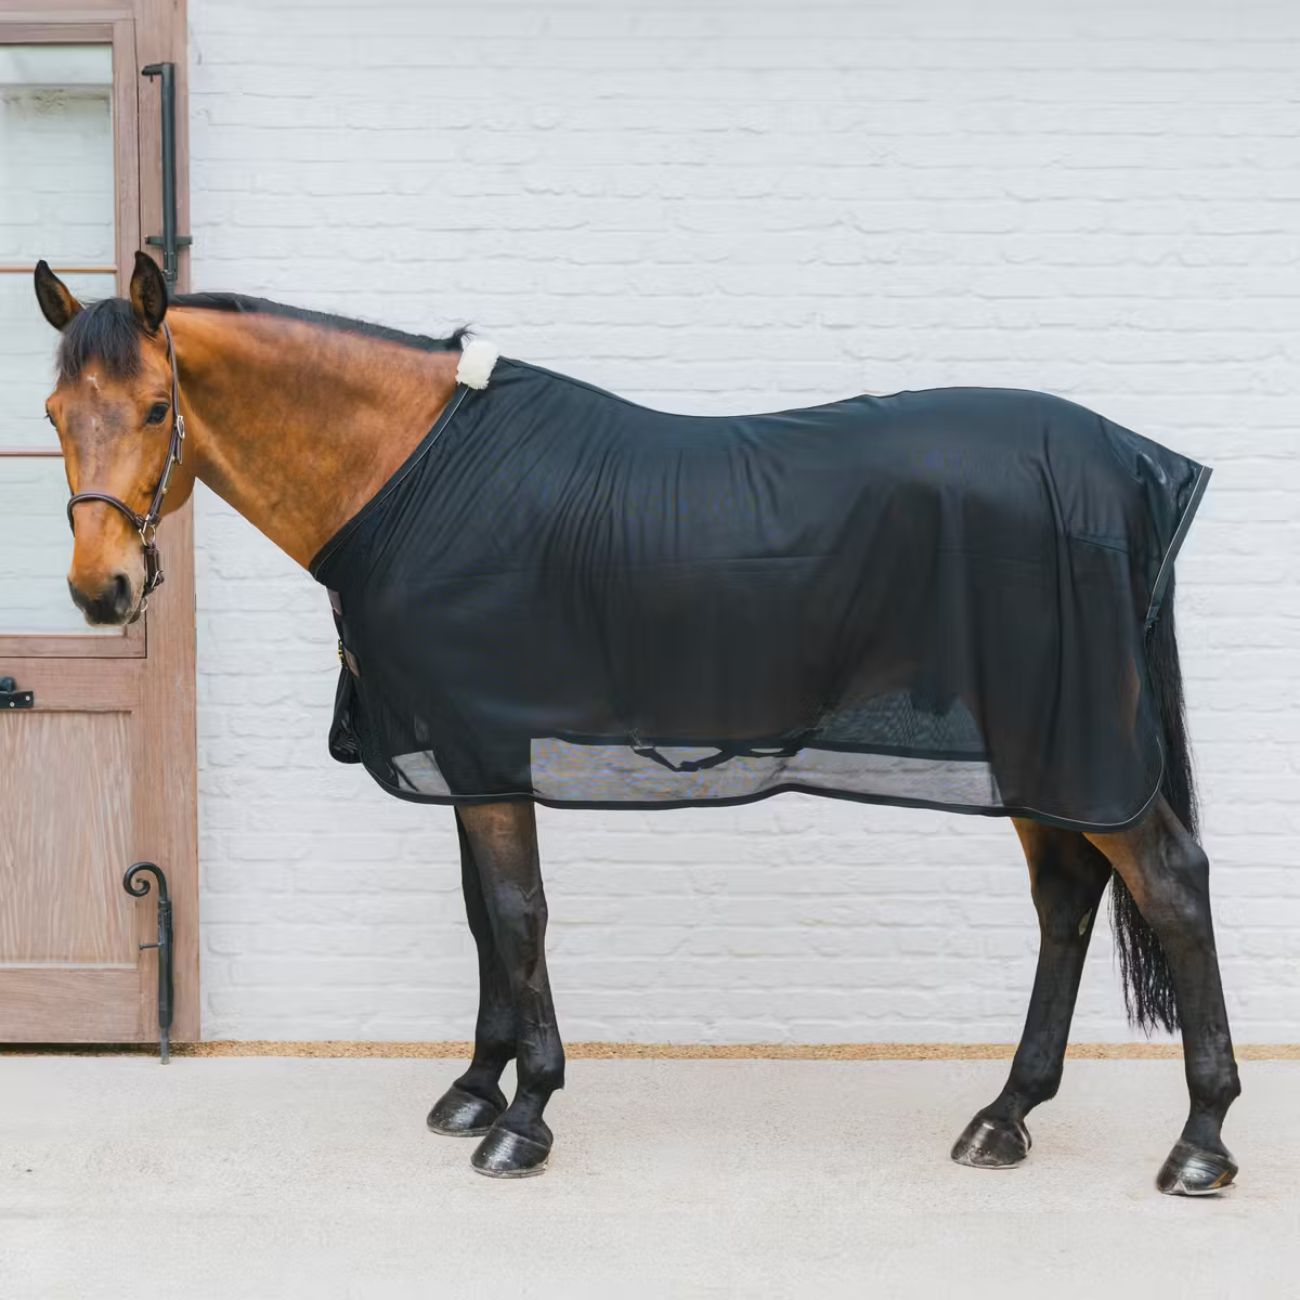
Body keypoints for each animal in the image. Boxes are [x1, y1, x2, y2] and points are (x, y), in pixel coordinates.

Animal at [34, 252, 1240, 1194]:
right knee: (1067, 898)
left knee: (1169, 884)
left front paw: (525, 1119)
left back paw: (1199, 1141)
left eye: (156, 408)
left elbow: (517, 915)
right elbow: (482, 919)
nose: (99, 590)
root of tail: (1136, 472)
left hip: (1069, 743)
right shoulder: (468, 753)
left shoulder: (483, 745)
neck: (410, 476)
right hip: (1036, 753)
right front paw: (476, 1089)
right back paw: (1006, 1115)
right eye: (52, 416)